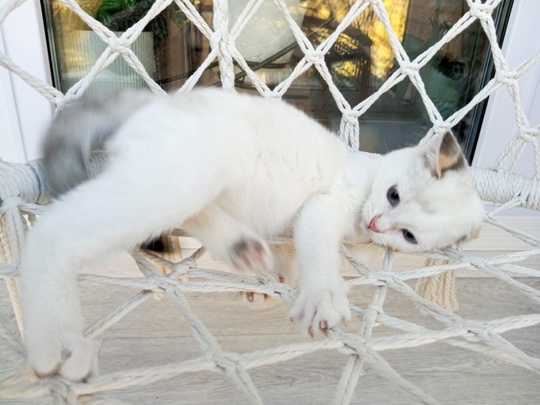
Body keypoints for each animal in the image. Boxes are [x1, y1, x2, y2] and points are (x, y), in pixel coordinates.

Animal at [17, 87, 486, 378]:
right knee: (54, 230)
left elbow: (298, 252)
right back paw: (59, 341)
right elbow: (319, 252)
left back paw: (241, 247)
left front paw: (276, 280)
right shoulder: (323, 207)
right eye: (393, 194)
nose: (377, 224)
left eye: (409, 236)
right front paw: (322, 297)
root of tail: (150, 104)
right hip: (186, 176)